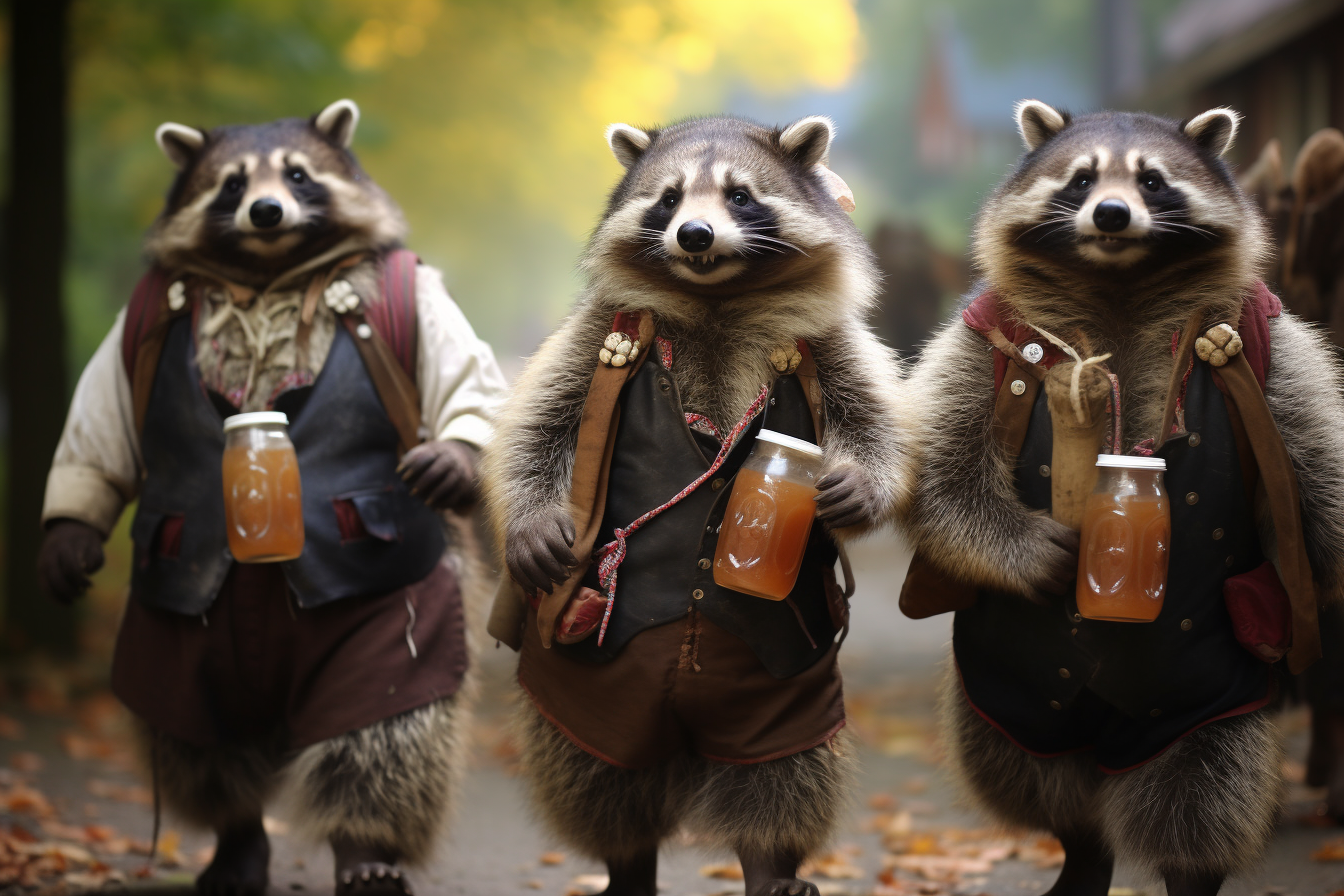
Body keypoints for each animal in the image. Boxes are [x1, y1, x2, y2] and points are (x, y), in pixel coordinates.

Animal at [38, 101, 508, 891]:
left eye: (296, 175)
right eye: (232, 184)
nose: (265, 211)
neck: (267, 275)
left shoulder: (419, 303)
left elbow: (472, 383)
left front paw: (452, 451)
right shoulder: (137, 327)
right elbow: (100, 431)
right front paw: (69, 535)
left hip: (391, 599)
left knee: (382, 726)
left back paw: (364, 845)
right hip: (178, 636)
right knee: (193, 733)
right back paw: (236, 836)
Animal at [483, 117, 913, 896]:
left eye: (740, 195)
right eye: (669, 198)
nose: (694, 235)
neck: (717, 295)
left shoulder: (830, 342)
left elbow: (875, 414)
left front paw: (861, 486)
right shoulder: (597, 333)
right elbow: (540, 420)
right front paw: (531, 519)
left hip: (780, 687)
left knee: (783, 768)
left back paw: (771, 861)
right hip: (593, 687)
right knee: (593, 770)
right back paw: (625, 858)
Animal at [897, 100, 1344, 896]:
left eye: (1152, 180)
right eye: (1081, 178)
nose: (1110, 214)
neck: (1120, 281)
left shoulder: (1272, 339)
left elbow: (1318, 461)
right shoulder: (981, 339)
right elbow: (942, 464)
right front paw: (1023, 545)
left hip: (1205, 696)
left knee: (1204, 779)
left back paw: (1189, 869)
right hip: (1010, 689)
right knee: (1022, 767)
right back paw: (1081, 847)